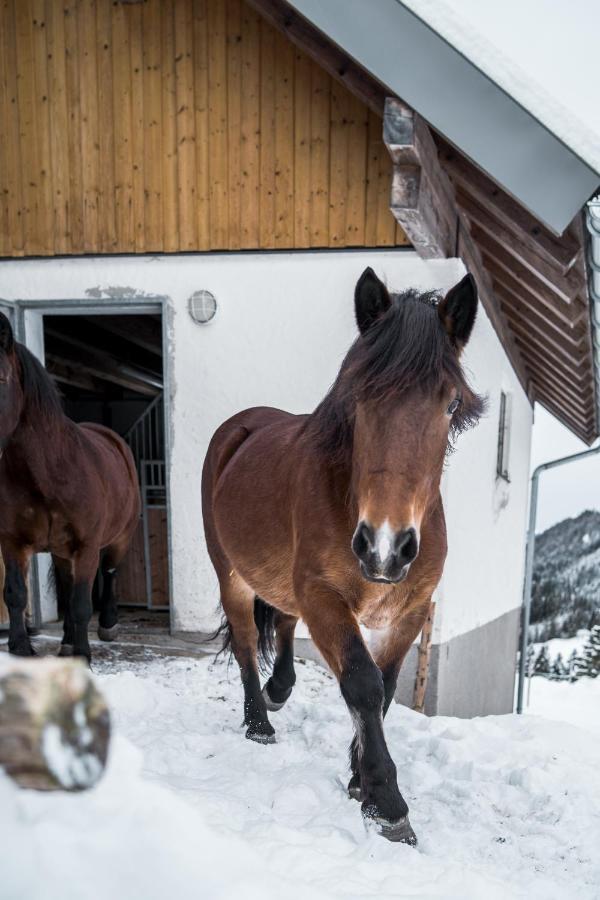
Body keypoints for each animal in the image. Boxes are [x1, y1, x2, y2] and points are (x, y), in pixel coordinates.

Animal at [0, 314, 139, 660]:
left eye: (1, 379)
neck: (47, 476)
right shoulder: (12, 542)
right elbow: (16, 593)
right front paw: (21, 648)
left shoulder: (87, 546)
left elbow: (80, 605)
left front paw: (82, 655)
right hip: (62, 550)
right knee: (66, 584)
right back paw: (65, 641)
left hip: (119, 538)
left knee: (109, 573)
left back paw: (107, 625)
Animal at [202, 268, 482, 844]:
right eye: (359, 399)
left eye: (449, 405)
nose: (385, 546)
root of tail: (240, 426)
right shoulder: (324, 596)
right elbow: (362, 683)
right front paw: (386, 801)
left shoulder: (412, 611)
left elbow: (387, 686)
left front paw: (357, 779)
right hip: (231, 574)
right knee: (245, 643)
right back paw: (259, 722)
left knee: (284, 624)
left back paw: (278, 690)